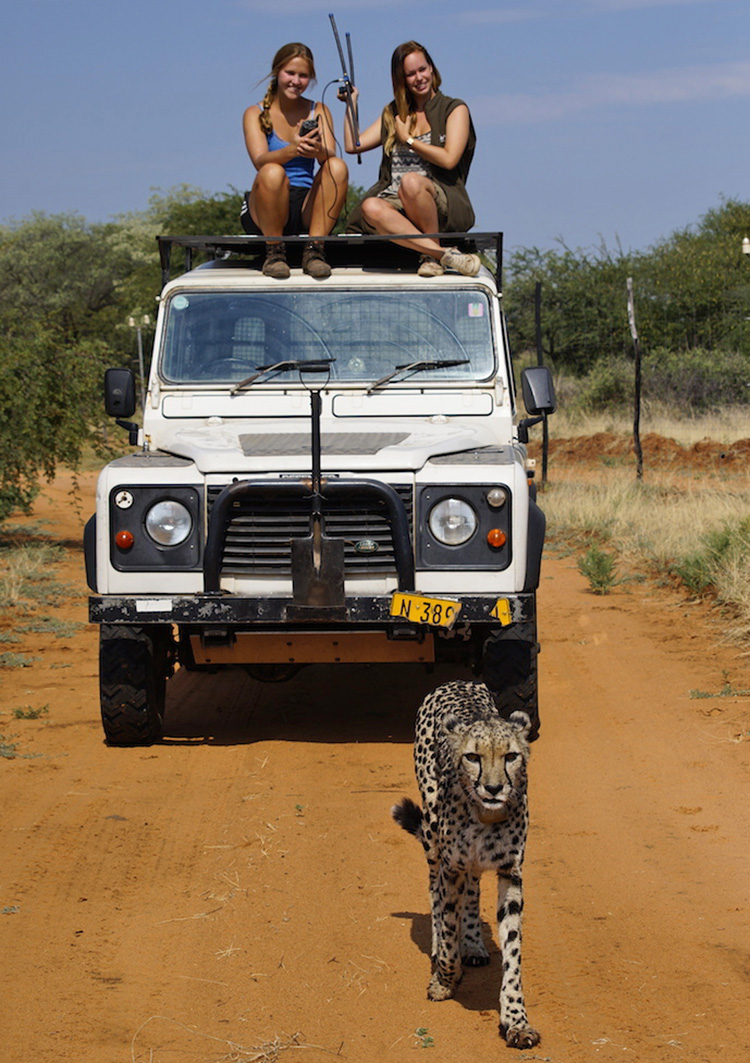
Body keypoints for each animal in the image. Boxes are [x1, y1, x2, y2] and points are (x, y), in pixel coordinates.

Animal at [390, 680, 537, 1045]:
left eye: (511, 756)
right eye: (473, 756)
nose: (494, 788)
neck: (485, 815)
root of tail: (457, 681)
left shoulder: (510, 873)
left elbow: (512, 951)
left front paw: (516, 1019)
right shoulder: (451, 867)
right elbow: (446, 926)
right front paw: (443, 980)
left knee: (472, 889)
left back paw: (472, 944)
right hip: (432, 839)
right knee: (435, 891)